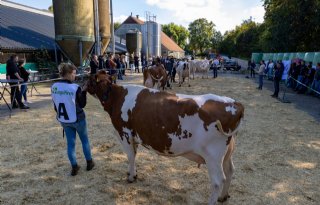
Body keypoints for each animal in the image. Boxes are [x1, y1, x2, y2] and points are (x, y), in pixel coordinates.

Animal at [85, 70, 245, 203]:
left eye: (91, 79)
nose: (83, 85)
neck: (117, 96)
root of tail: (234, 103)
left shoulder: (124, 134)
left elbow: (130, 156)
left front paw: (130, 177)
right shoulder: (133, 136)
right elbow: (134, 155)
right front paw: (134, 174)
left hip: (213, 156)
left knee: (218, 181)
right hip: (227, 152)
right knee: (230, 171)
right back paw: (223, 197)